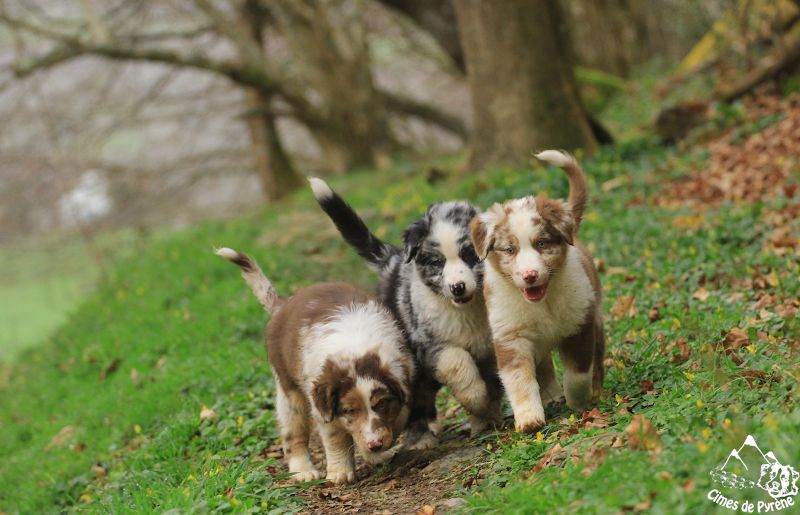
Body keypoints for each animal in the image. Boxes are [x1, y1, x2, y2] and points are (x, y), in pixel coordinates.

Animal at [216, 248, 412, 486]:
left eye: (382, 404)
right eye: (350, 410)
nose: (375, 444)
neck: (355, 348)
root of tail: (283, 304)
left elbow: (398, 417)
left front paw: (377, 452)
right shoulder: (323, 408)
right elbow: (336, 440)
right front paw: (340, 473)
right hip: (289, 393)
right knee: (294, 434)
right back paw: (303, 471)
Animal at [310, 176, 504, 448]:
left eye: (469, 255)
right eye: (437, 262)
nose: (457, 287)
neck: (467, 310)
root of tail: (394, 259)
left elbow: (497, 381)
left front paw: (489, 417)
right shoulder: (431, 345)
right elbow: (458, 365)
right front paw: (477, 400)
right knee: (417, 398)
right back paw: (421, 436)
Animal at [466, 151, 604, 434]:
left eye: (541, 243)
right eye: (510, 249)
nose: (529, 275)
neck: (542, 303)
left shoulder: (579, 324)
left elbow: (577, 372)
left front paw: (578, 402)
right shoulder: (510, 337)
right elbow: (520, 381)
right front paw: (529, 419)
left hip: (596, 313)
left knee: (598, 355)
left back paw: (596, 390)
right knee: (543, 366)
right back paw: (551, 396)